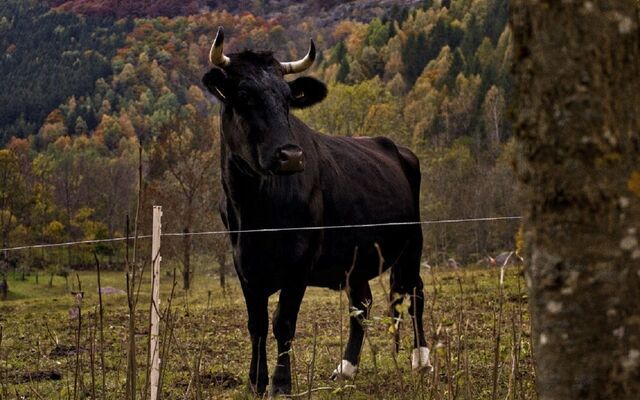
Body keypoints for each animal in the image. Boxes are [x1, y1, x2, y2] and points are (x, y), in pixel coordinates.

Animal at [201, 28, 430, 396]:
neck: (254, 211)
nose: (291, 155)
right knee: (362, 304)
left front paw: (281, 384)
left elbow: (283, 322)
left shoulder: (300, 261)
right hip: (356, 258)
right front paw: (256, 382)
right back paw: (346, 368)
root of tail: (394, 146)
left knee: (415, 293)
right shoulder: (244, 265)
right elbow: (257, 324)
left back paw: (421, 360)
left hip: (412, 242)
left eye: (287, 99)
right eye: (244, 95)